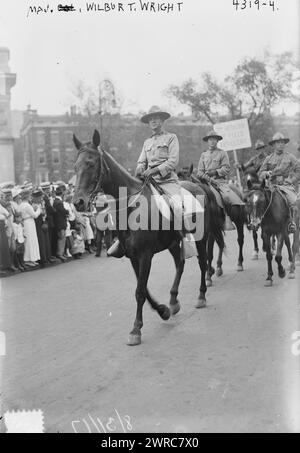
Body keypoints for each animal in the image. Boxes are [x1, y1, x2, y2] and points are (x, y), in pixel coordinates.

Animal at [73, 131, 225, 346]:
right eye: (75, 166)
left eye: (91, 163)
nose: (78, 202)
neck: (131, 206)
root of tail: (200, 187)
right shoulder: (133, 256)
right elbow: (143, 288)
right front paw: (163, 310)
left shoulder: (146, 255)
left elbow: (140, 291)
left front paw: (136, 329)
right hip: (173, 243)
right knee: (180, 264)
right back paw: (173, 301)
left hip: (200, 239)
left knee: (203, 262)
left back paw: (202, 295)